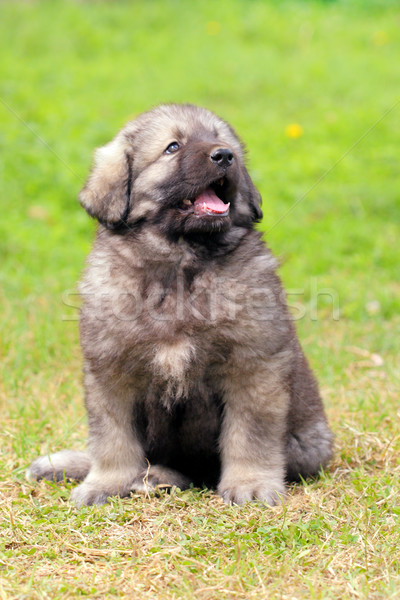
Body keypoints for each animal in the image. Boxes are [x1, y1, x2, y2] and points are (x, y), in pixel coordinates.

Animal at [28, 103, 332, 506]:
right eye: (173, 147)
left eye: (221, 140)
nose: (224, 155)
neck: (180, 264)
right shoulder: (110, 370)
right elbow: (112, 439)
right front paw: (105, 483)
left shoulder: (252, 366)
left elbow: (250, 435)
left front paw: (250, 483)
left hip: (306, 445)